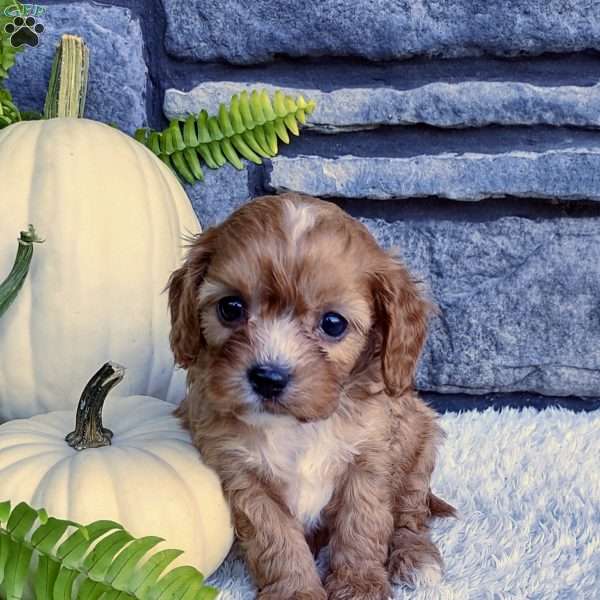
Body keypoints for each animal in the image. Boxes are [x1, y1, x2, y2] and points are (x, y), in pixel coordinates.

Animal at [166, 193, 458, 600]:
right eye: (231, 307)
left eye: (333, 323)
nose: (268, 377)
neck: (297, 426)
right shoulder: (242, 476)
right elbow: (276, 540)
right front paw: (296, 591)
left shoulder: (368, 460)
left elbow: (362, 525)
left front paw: (359, 584)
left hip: (420, 438)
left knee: (410, 515)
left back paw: (416, 557)